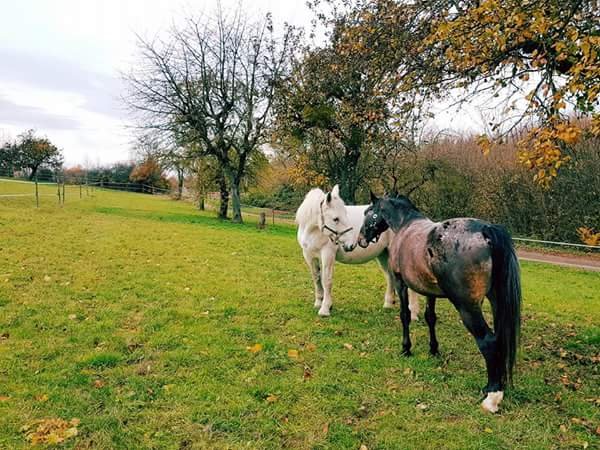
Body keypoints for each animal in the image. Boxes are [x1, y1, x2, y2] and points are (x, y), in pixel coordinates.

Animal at [294, 185, 418, 318]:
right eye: (335, 219)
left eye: (345, 214)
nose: (352, 244)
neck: (313, 230)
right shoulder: (309, 256)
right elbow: (316, 278)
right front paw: (318, 302)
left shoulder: (327, 254)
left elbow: (326, 280)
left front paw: (325, 309)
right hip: (383, 255)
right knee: (390, 276)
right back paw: (388, 304)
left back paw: (414, 313)